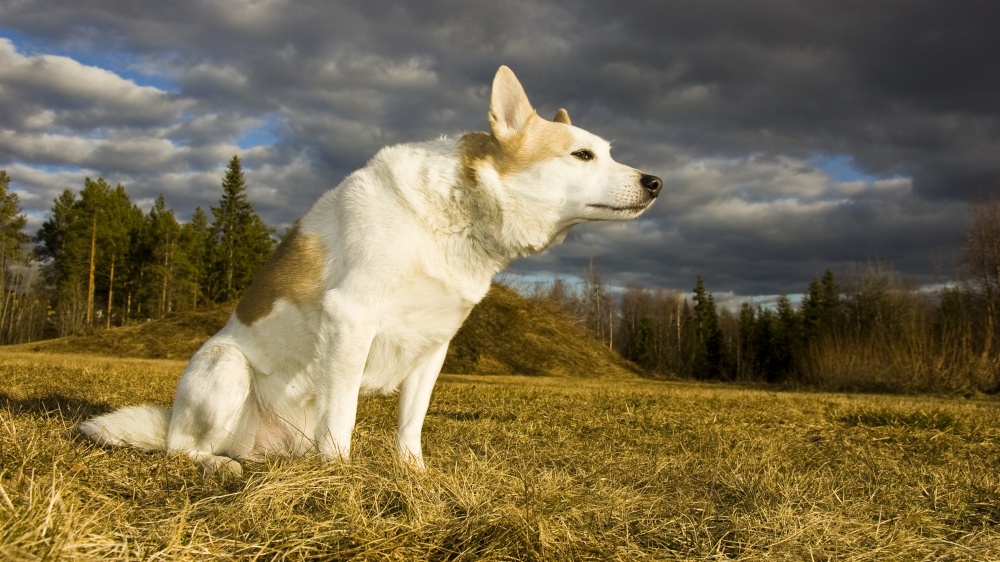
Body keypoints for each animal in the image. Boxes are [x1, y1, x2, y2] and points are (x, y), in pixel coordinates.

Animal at [80, 68, 664, 474]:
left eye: (609, 152)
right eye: (583, 155)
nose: (656, 181)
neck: (456, 219)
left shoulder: (433, 347)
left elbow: (411, 425)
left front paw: (415, 477)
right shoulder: (350, 319)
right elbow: (342, 421)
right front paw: (342, 482)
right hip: (225, 367)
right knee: (183, 450)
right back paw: (219, 465)